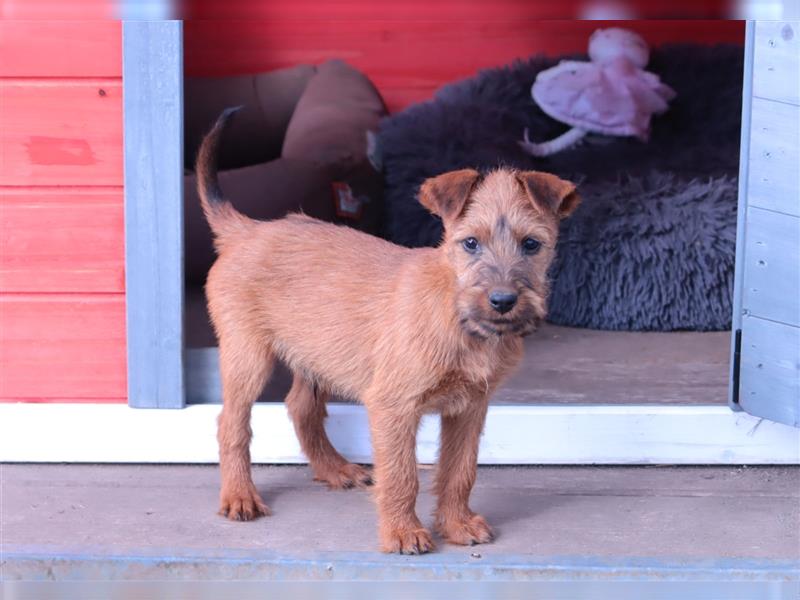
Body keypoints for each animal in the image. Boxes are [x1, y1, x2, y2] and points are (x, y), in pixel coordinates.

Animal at [197, 106, 580, 552]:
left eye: (531, 245)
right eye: (470, 243)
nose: (503, 301)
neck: (456, 317)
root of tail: (246, 230)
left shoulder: (470, 409)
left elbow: (460, 471)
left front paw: (456, 524)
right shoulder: (393, 405)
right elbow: (402, 475)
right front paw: (403, 532)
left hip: (315, 353)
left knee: (301, 407)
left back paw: (335, 469)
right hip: (248, 356)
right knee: (231, 424)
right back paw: (240, 496)